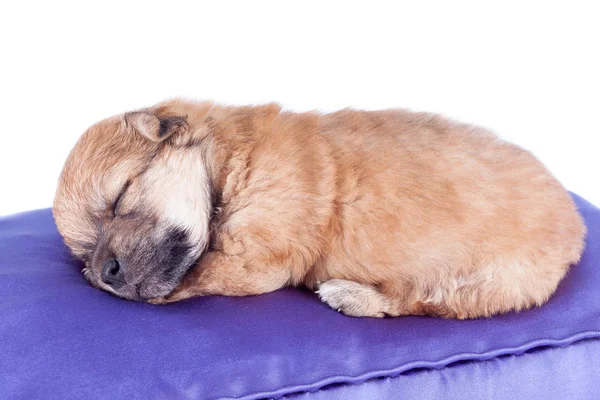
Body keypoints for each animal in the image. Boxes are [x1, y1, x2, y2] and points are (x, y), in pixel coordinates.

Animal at [52, 99, 584, 318]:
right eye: (85, 251)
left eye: (120, 197)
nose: (105, 272)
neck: (231, 163)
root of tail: (576, 224)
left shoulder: (255, 259)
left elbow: (195, 277)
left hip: (492, 282)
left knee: (421, 301)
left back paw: (351, 296)